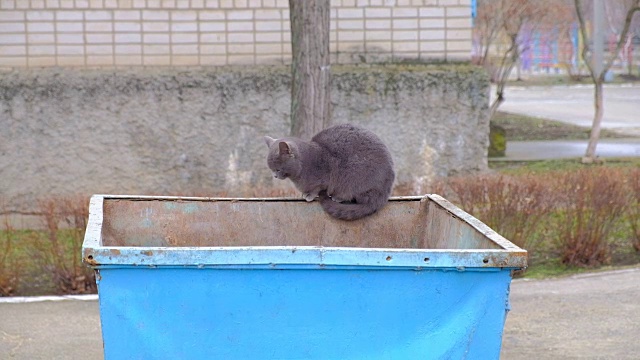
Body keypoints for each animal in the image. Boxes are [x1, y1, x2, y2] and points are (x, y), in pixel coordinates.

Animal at [262, 123, 392, 219]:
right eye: (271, 169)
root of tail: (384, 193)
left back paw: (338, 197)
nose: (275, 176)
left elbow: (317, 188)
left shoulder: (324, 179)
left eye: (278, 169)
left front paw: (309, 195)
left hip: (354, 177)